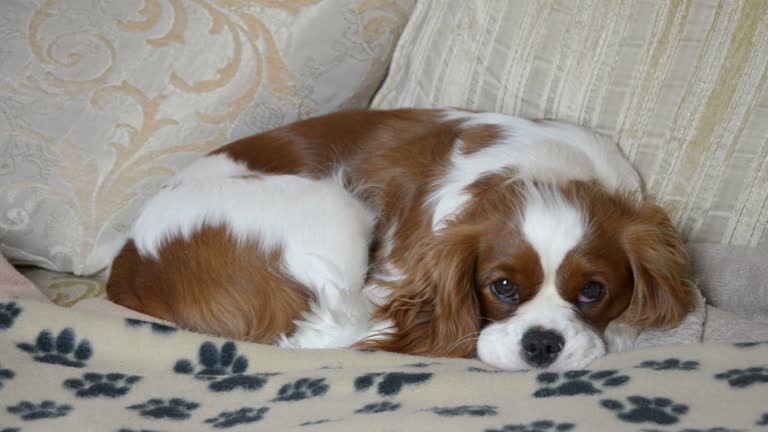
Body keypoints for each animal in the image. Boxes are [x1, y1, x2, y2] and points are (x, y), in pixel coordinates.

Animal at [105, 107, 692, 368]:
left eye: (593, 291)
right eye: (502, 287)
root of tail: (129, 267)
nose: (542, 345)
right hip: (336, 207)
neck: (546, 173)